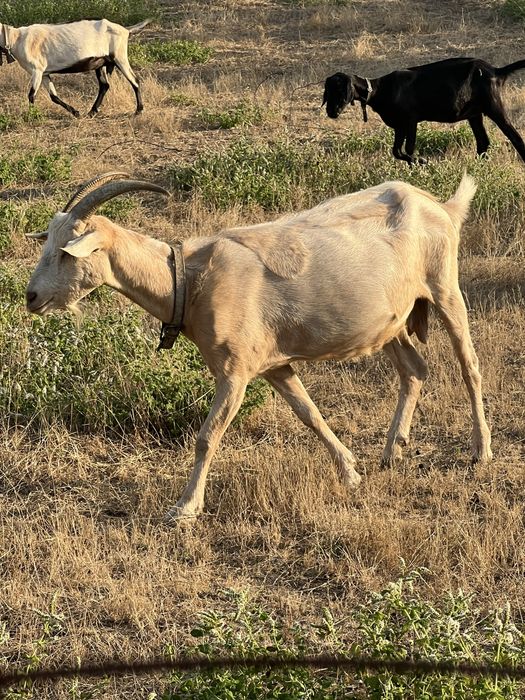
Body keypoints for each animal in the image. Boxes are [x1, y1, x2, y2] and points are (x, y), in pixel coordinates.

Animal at [0, 18, 150, 117]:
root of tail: (126, 30)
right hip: (100, 63)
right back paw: (91, 112)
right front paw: (76, 112)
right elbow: (54, 96)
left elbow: (31, 94)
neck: (16, 38)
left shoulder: (37, 69)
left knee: (134, 80)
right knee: (104, 85)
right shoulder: (44, 73)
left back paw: (138, 110)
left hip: (119, 56)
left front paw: (31, 115)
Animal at [25, 172, 492, 521]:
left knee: (469, 366)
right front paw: (350, 472)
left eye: (66, 253)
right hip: (391, 320)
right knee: (414, 369)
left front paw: (184, 508)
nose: (31, 297)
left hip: (445, 286)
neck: (190, 280)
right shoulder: (274, 365)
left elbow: (207, 436)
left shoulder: (235, 371)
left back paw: (480, 451)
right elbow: (309, 414)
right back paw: (392, 451)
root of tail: (442, 206)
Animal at [323, 57, 525, 164]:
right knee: (483, 142)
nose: (331, 112)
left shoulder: (411, 120)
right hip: (474, 114)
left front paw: (420, 162)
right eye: (328, 91)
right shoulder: (399, 126)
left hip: (494, 107)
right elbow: (397, 151)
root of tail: (495, 71)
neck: (381, 89)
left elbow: (408, 148)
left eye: (341, 90)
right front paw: (417, 162)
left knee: (515, 138)